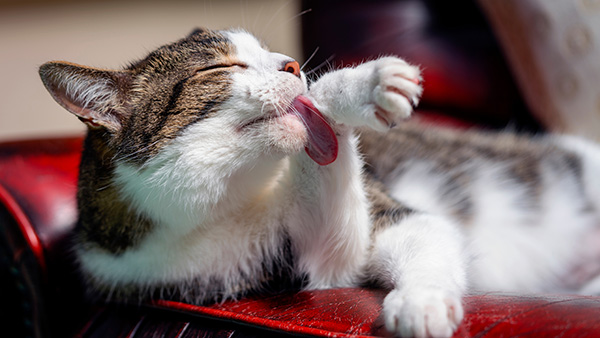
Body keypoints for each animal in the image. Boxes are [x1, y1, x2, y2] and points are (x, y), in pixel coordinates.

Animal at [38, 29, 600, 338]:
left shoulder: (382, 208)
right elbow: (341, 247)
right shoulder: (310, 265)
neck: (216, 208)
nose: (291, 64)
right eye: (221, 65)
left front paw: (358, 85)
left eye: (270, 54)